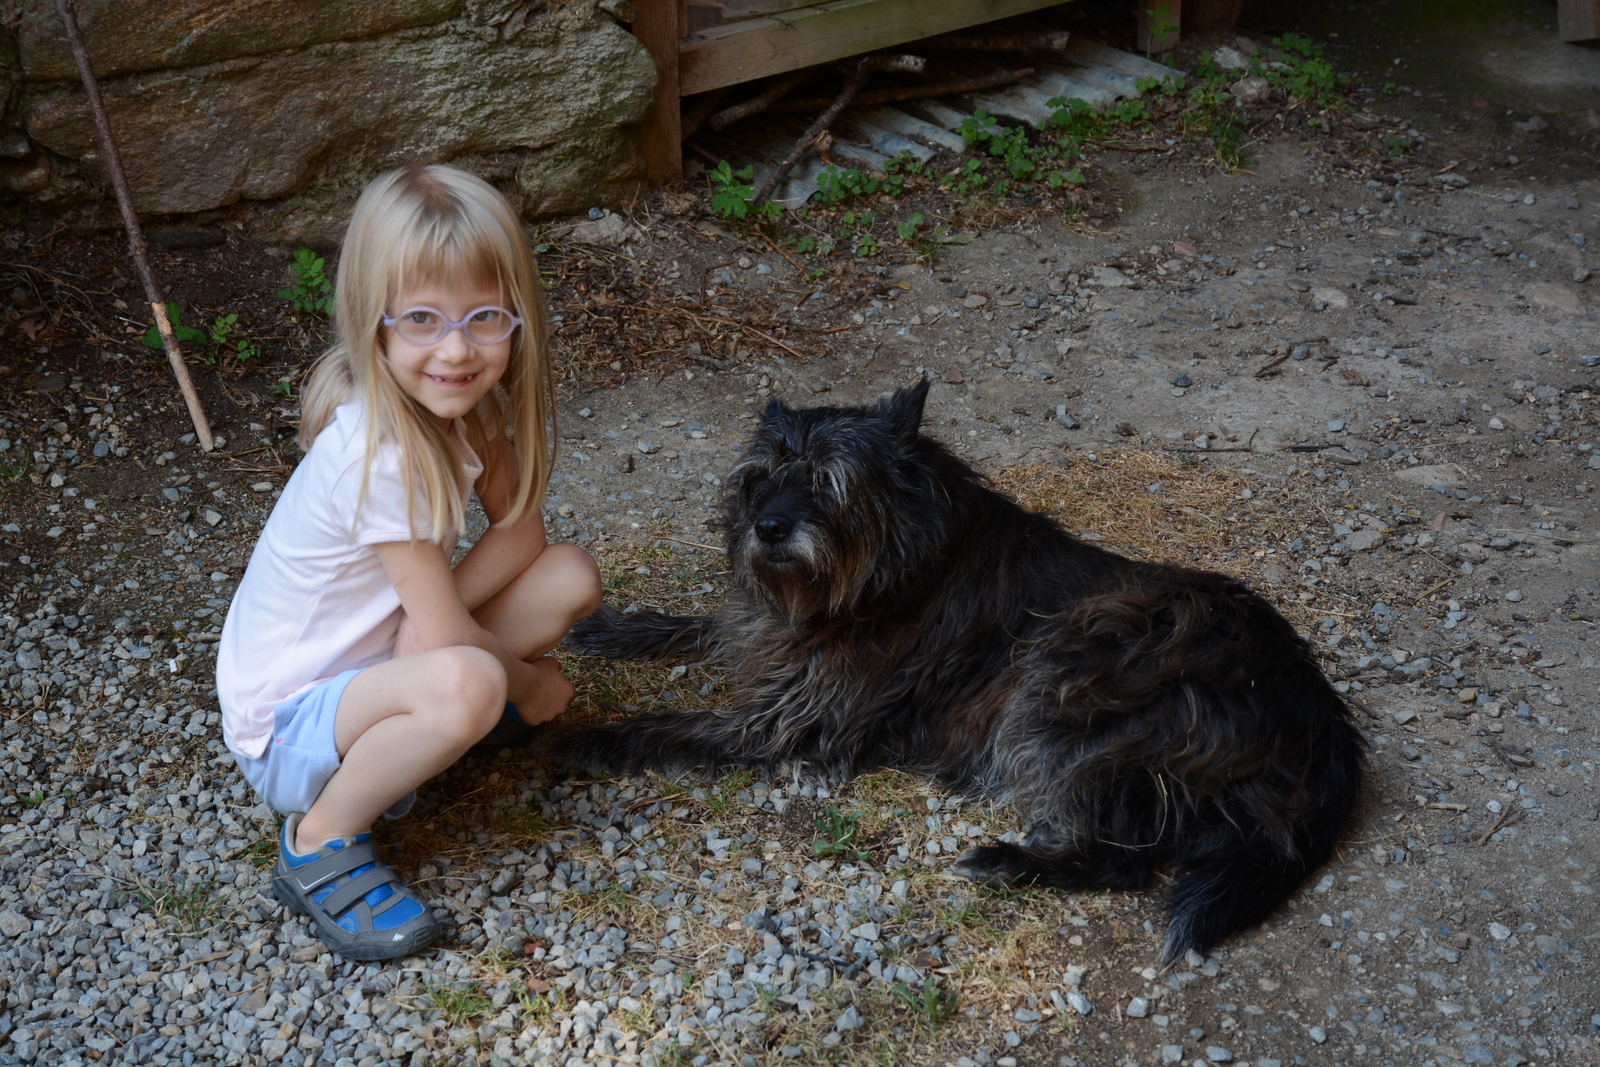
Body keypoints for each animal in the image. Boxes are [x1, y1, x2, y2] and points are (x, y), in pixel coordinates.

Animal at [545, 379, 1364, 964]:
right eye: (758, 480)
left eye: (830, 482)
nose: (767, 528)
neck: (900, 562)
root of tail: (1321, 714)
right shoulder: (771, 635)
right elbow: (699, 628)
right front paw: (609, 627)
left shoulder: (795, 713)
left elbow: (675, 725)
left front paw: (590, 738)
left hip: (1077, 663)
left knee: (1124, 859)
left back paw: (1009, 862)